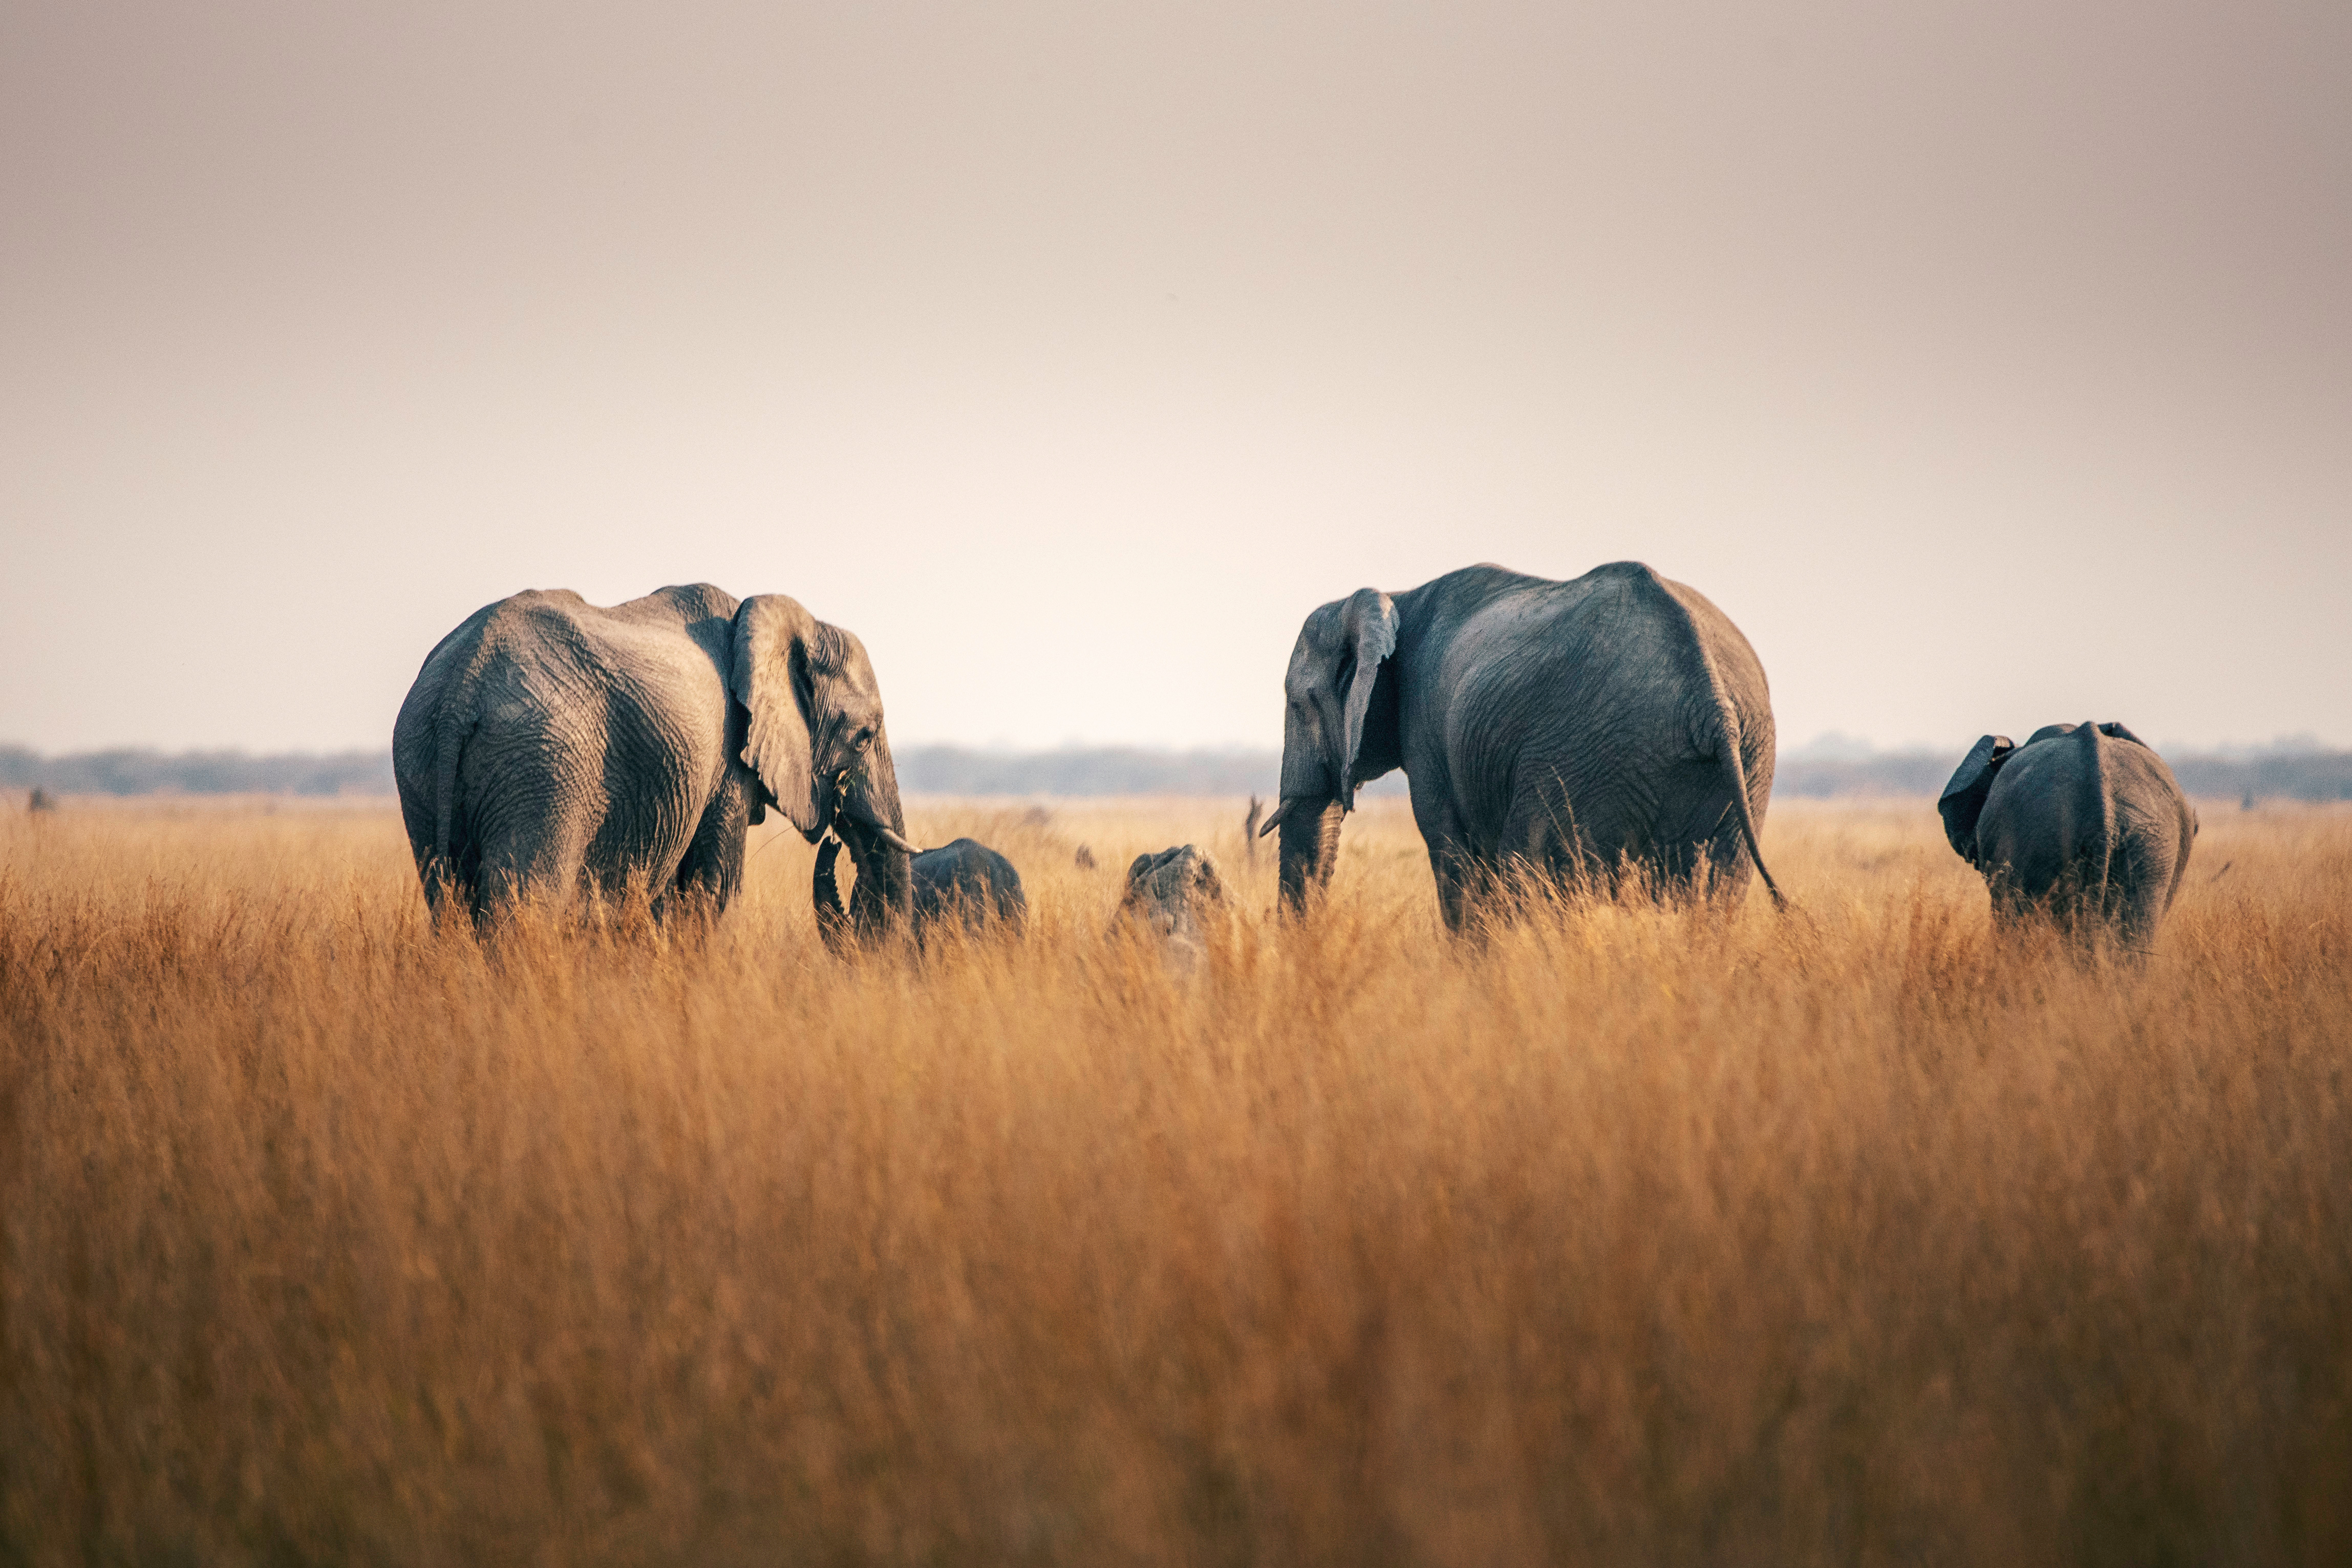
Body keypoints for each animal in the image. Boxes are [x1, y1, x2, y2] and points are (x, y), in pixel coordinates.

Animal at [392, 583, 916, 933]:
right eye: (864, 737)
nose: (833, 842)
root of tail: (462, 684)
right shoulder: (728, 760)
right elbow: (715, 889)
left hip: (419, 761)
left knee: (447, 896)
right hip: (542, 766)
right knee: (524, 906)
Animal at [1260, 561, 1783, 927]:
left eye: (1300, 703)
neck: (1397, 597)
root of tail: (1710, 697)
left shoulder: (1426, 729)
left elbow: (1450, 850)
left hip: (1587, 760)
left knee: (1533, 874)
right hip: (1745, 766)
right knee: (1716, 894)